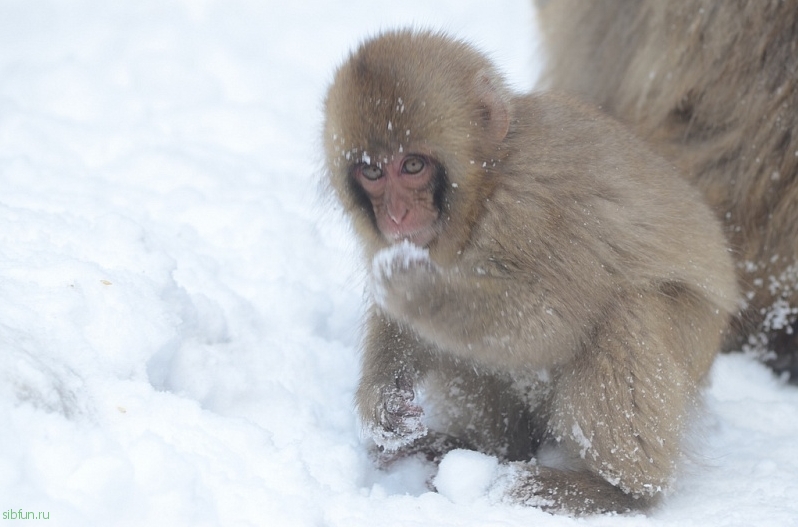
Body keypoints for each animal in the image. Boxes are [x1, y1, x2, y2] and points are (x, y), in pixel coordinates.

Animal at [322, 29, 740, 516]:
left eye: (412, 165)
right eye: (371, 171)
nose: (396, 214)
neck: (486, 188)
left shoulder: (536, 205)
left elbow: (554, 322)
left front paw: (419, 290)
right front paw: (381, 400)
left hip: (693, 346)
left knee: (626, 312)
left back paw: (612, 490)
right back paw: (477, 448)